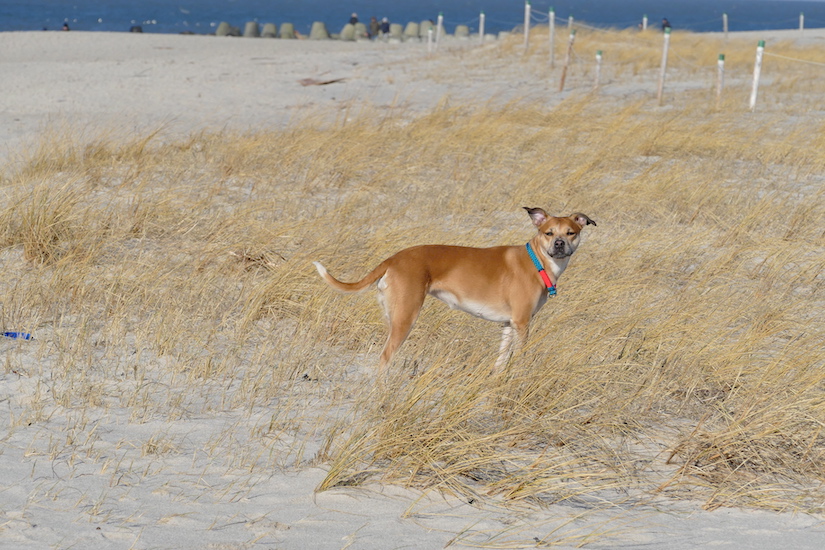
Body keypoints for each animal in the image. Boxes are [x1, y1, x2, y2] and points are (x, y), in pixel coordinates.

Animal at [313, 207, 596, 376]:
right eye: (548, 232)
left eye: (571, 232)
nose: (559, 245)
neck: (537, 260)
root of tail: (392, 260)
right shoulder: (522, 323)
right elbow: (521, 357)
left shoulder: (508, 324)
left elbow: (501, 360)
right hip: (406, 318)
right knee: (384, 359)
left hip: (392, 318)